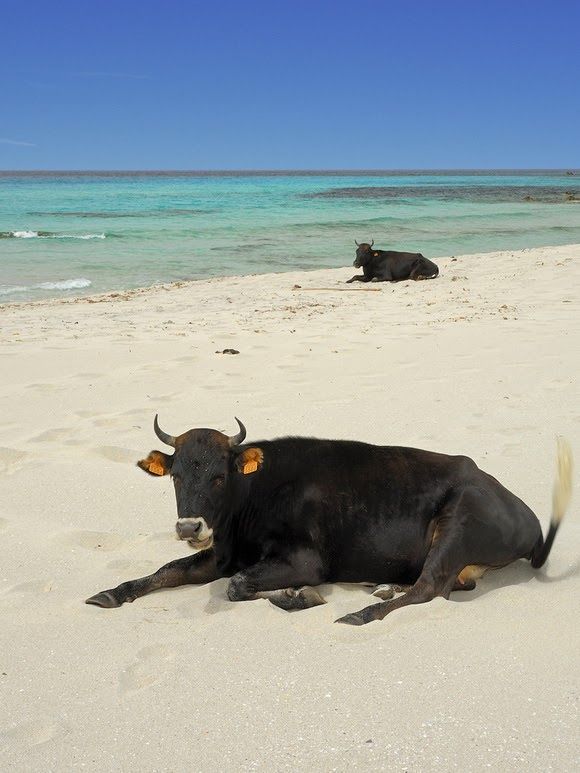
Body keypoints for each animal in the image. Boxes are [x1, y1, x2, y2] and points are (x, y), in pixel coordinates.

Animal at [86, 416, 572, 628]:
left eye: (219, 476)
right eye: (177, 476)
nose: (189, 528)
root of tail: (525, 513)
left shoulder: (306, 560)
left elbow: (238, 586)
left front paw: (299, 595)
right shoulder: (222, 554)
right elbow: (168, 570)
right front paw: (113, 592)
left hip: (458, 522)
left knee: (431, 587)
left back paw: (362, 612)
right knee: (449, 584)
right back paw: (383, 587)